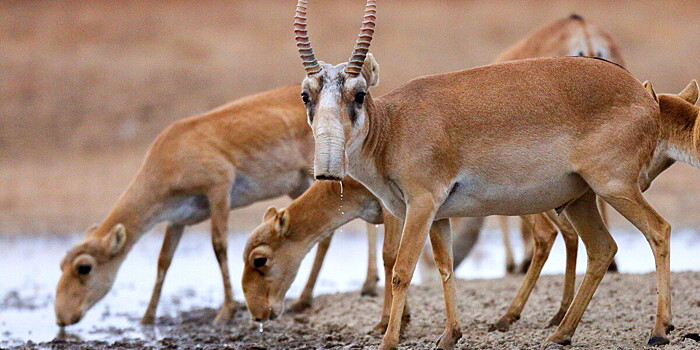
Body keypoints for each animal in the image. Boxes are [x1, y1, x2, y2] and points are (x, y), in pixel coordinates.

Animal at [51, 85, 386, 328]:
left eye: (84, 267)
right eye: (61, 264)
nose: (61, 318)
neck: (169, 154)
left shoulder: (219, 190)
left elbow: (219, 245)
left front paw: (226, 311)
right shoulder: (178, 220)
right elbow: (163, 261)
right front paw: (147, 318)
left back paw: (360, 285)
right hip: (299, 187)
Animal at [272, 0, 696, 348]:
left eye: (359, 94)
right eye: (306, 95)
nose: (328, 170)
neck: (393, 127)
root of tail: (644, 95)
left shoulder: (420, 206)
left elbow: (402, 270)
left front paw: (389, 341)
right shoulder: (438, 216)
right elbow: (445, 269)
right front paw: (449, 336)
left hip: (614, 188)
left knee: (659, 230)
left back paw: (659, 330)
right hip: (580, 198)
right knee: (603, 248)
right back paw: (560, 333)